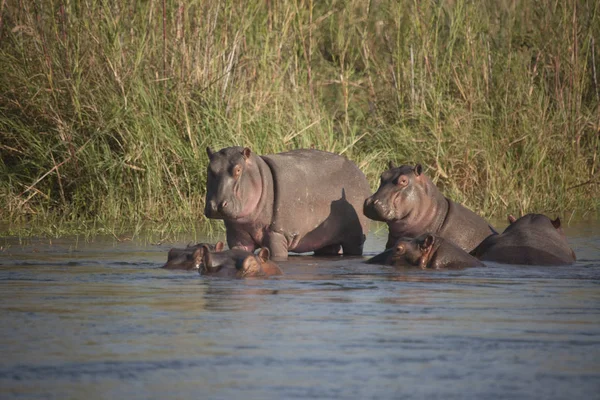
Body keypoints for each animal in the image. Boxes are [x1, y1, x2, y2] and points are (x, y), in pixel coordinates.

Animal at [205, 146, 370, 260]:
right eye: (209, 169)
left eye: (238, 170)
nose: (216, 205)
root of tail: (358, 170)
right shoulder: (237, 237)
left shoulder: (277, 233)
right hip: (326, 239)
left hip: (354, 237)